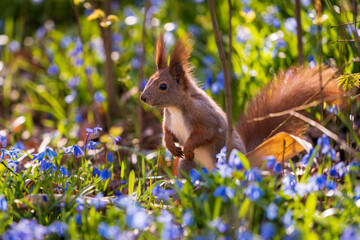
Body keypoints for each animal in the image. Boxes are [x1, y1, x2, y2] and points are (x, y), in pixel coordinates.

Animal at [139, 34, 342, 171]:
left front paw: (187, 147)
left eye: (163, 86)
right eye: (149, 79)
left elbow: (206, 133)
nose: (143, 98)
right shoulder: (169, 120)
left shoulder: (204, 116)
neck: (176, 107)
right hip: (187, 167)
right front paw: (170, 146)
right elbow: (167, 132)